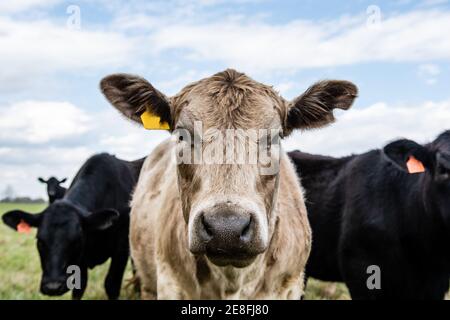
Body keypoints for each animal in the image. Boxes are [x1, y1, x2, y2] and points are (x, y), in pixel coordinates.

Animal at [2, 154, 144, 298]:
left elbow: (111, 285)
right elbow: (79, 287)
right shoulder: (80, 259)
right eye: (40, 241)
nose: (53, 287)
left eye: (76, 240)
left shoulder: (121, 249)